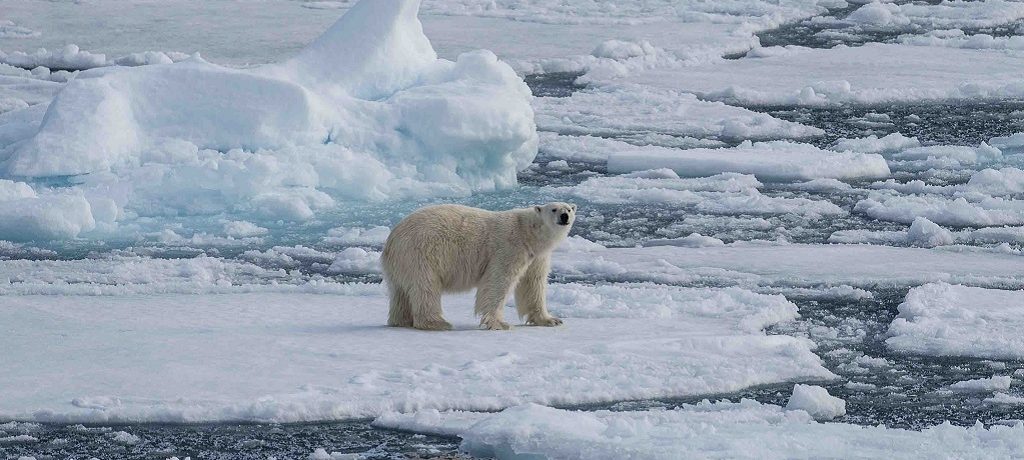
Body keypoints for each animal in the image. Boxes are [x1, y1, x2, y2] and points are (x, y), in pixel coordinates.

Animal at [385, 202, 577, 327]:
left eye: (568, 208)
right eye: (553, 209)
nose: (564, 216)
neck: (528, 232)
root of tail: (392, 239)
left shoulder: (536, 256)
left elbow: (533, 284)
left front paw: (551, 320)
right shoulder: (510, 247)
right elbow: (498, 281)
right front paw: (499, 323)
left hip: (402, 264)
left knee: (401, 293)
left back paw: (401, 321)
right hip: (420, 253)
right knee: (425, 287)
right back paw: (436, 322)